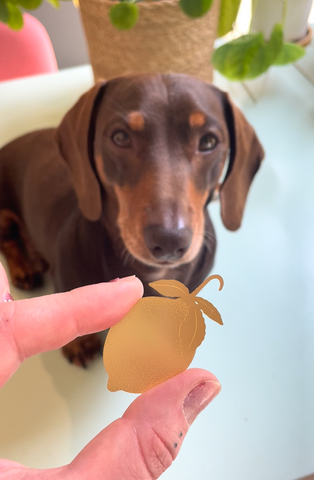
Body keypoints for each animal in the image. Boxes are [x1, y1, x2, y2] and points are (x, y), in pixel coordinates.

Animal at [0, 73, 264, 366]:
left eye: (208, 142)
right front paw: (79, 345)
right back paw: (25, 267)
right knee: (8, 242)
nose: (169, 242)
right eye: (120, 137)